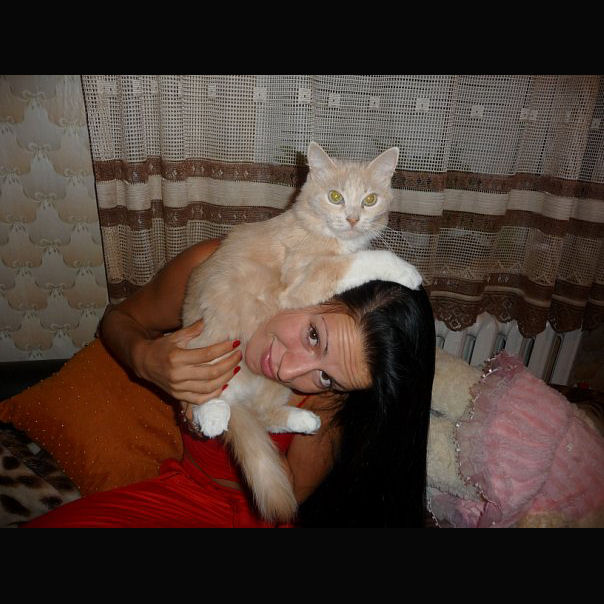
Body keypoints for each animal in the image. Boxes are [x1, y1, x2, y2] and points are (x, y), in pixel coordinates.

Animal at [181, 141, 423, 522]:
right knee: (204, 396)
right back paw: (214, 414)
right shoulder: (300, 281)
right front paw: (405, 270)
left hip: (274, 379)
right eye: (336, 196)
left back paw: (303, 419)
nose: (353, 219)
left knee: (262, 414)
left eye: (370, 199)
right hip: (214, 346)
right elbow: (356, 261)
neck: (314, 225)